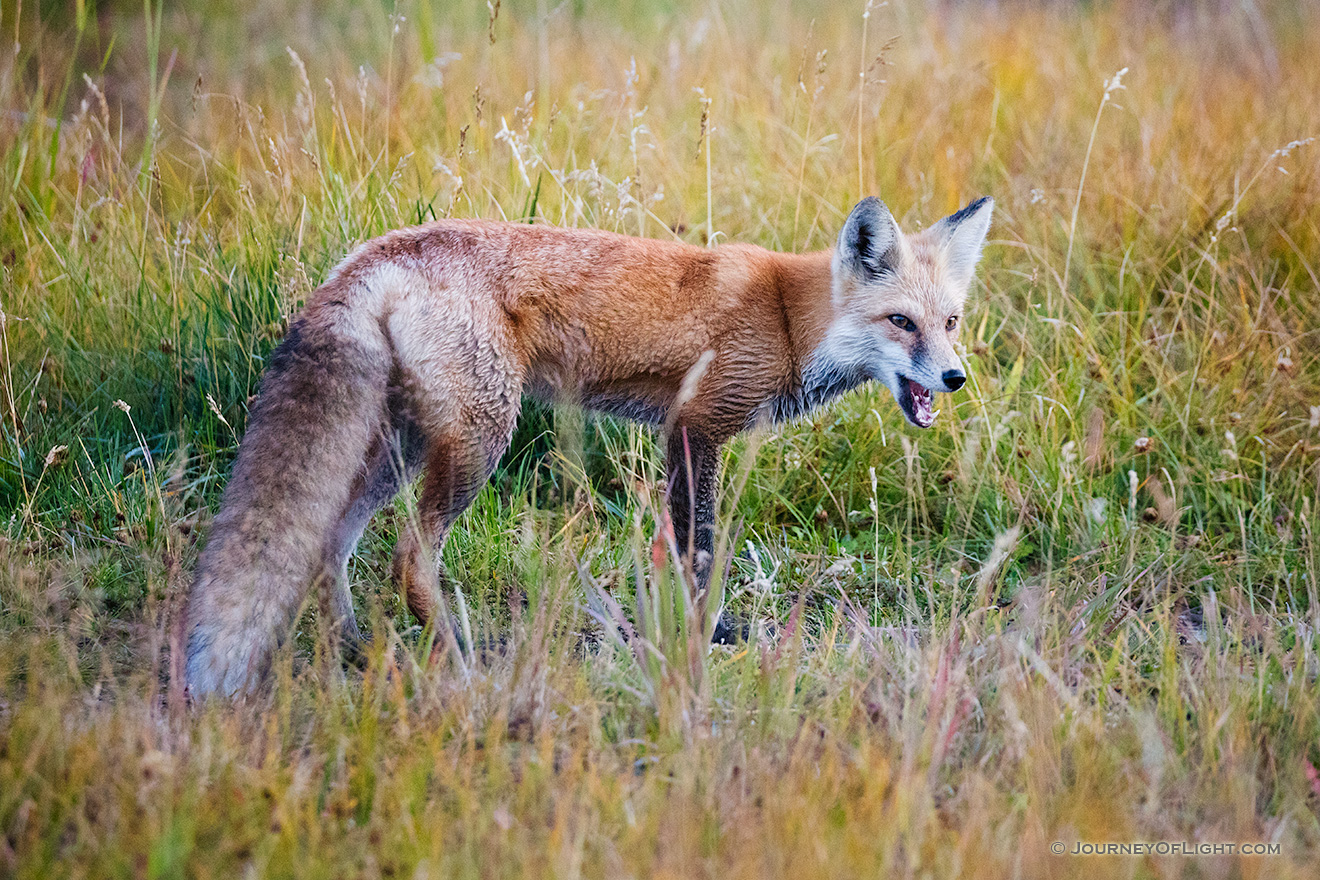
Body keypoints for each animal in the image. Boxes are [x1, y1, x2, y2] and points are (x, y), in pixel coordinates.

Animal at [183, 196, 992, 696]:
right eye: (900, 323)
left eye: (949, 321)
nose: (954, 378)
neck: (789, 320)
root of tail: (373, 255)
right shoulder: (696, 427)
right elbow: (698, 551)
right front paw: (703, 636)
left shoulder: (681, 434)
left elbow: (686, 550)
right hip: (479, 441)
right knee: (410, 555)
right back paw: (458, 659)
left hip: (401, 448)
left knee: (331, 545)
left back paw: (357, 650)